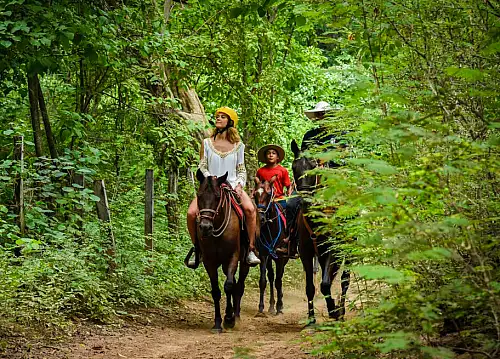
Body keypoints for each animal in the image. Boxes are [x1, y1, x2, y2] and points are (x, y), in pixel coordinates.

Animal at [194, 170, 250, 334]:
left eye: (217, 197)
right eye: (199, 195)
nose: (205, 227)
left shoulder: (233, 257)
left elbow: (229, 286)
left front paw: (229, 319)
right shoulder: (209, 261)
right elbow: (216, 291)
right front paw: (218, 323)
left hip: (244, 261)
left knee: (239, 286)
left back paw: (236, 317)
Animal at [254, 177, 290, 316]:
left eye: (268, 194)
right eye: (255, 195)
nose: (260, 218)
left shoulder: (281, 257)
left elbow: (278, 282)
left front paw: (279, 306)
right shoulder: (264, 254)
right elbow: (263, 280)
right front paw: (261, 307)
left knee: (278, 278)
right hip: (270, 257)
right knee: (271, 276)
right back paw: (271, 305)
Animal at [292, 139, 350, 324]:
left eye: (313, 167)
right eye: (294, 167)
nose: (305, 200)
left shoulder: (332, 249)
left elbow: (325, 284)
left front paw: (333, 311)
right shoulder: (306, 252)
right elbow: (310, 287)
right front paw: (311, 319)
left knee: (345, 279)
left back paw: (341, 310)